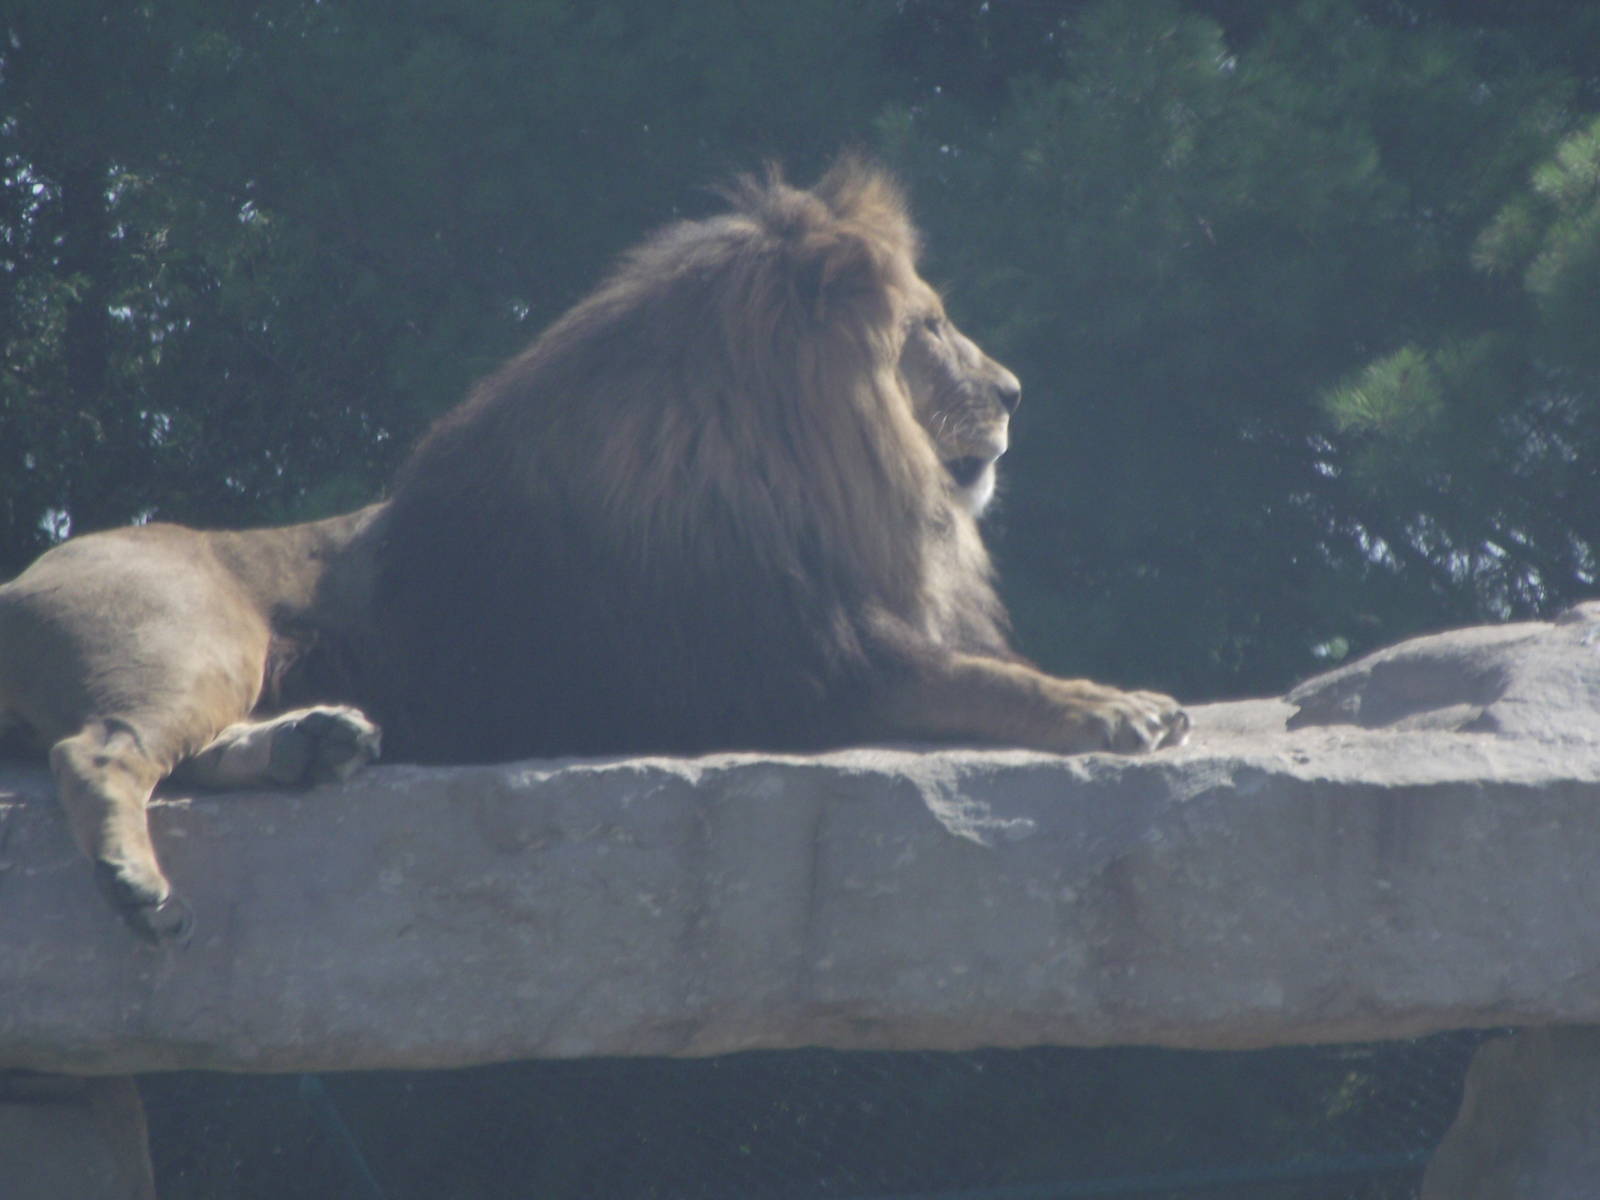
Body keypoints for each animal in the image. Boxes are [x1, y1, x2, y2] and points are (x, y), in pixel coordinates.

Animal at [0, 158, 1187, 943]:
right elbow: (979, 678)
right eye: (930, 328)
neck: (798, 470)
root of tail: (23, 576)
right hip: (193, 634)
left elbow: (992, 665)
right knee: (101, 750)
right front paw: (1115, 707)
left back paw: (317, 744)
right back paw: (139, 885)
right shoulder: (796, 674)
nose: (1015, 391)